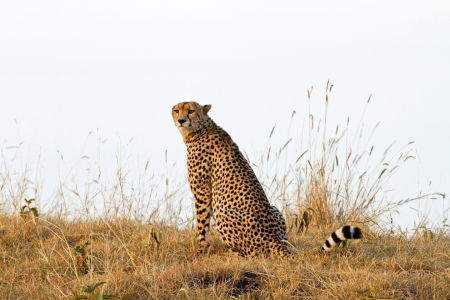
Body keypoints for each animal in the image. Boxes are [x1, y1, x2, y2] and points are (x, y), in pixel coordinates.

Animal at [172, 102, 362, 256]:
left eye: (191, 111)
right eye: (176, 110)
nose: (181, 120)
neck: (202, 127)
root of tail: (275, 240)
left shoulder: (202, 191)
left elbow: (202, 224)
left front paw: (201, 250)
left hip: (223, 211)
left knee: (252, 253)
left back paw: (232, 253)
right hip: (275, 210)